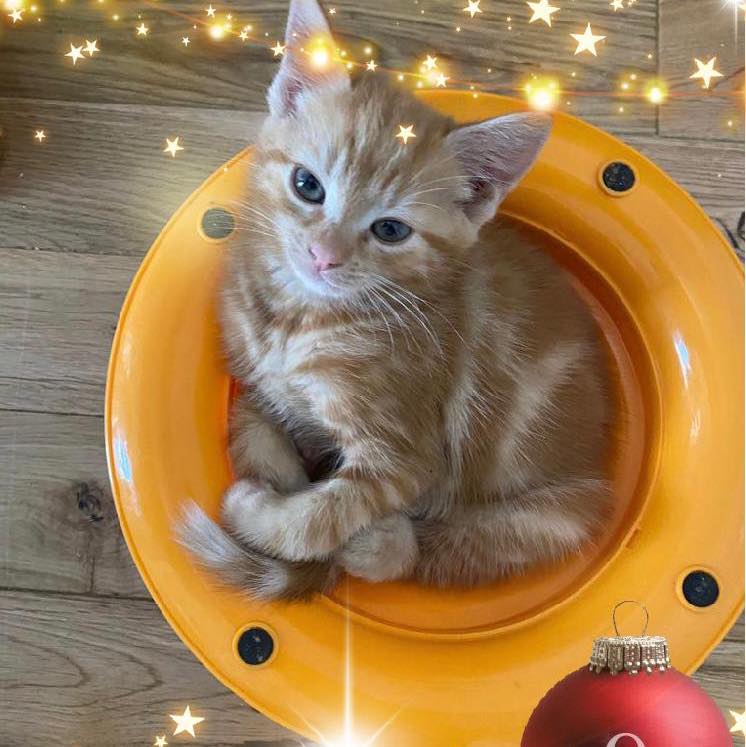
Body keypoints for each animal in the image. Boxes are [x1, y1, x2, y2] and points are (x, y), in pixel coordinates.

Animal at [180, 0, 612, 600]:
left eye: (389, 230)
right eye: (307, 185)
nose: (323, 256)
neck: (298, 321)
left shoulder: (407, 459)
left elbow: (316, 522)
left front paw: (256, 512)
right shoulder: (258, 387)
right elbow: (253, 430)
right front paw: (276, 477)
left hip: (553, 514)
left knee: (436, 550)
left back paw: (377, 543)